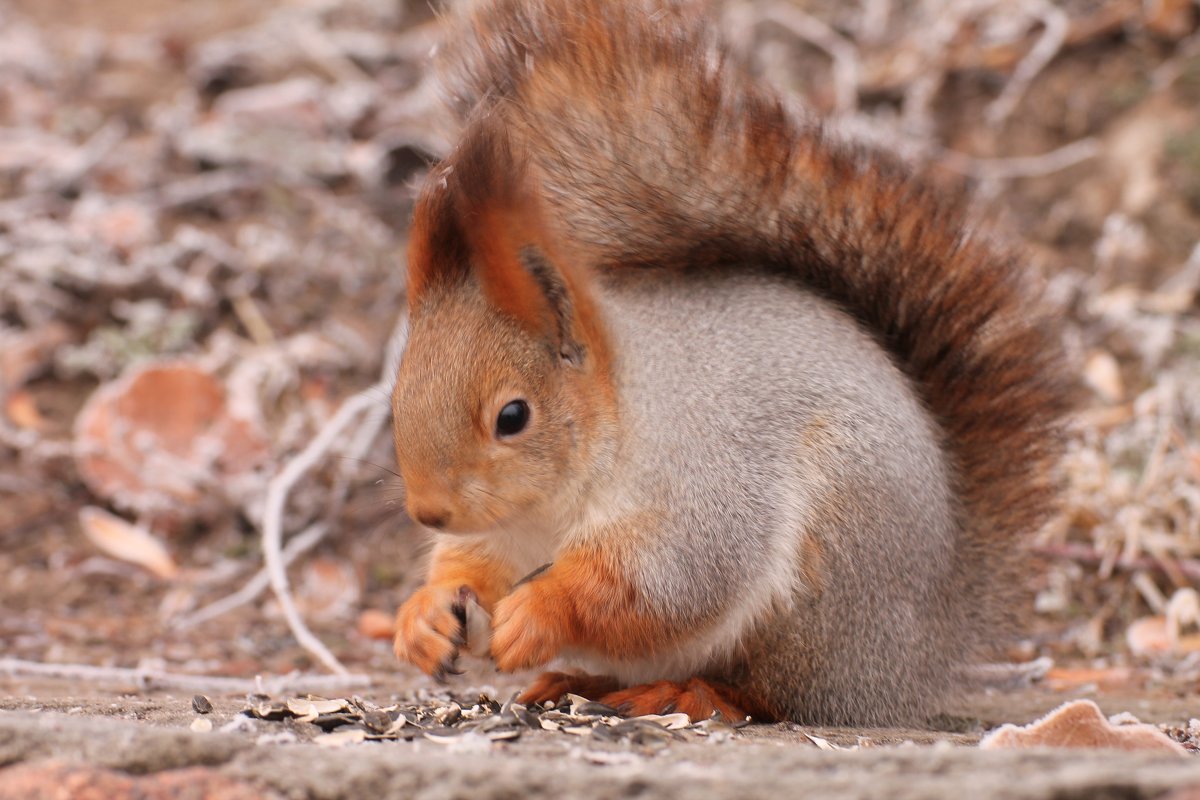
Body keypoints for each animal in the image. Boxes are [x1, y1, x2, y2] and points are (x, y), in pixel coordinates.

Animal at [388, 0, 1075, 724]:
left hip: (824, 583)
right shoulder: (497, 533)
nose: (428, 512)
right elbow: (469, 565)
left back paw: (686, 691)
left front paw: (537, 614)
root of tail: (919, 659)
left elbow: (663, 586)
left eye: (513, 416)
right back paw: (581, 680)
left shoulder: (701, 492)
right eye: (397, 400)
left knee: (773, 693)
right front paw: (425, 616)